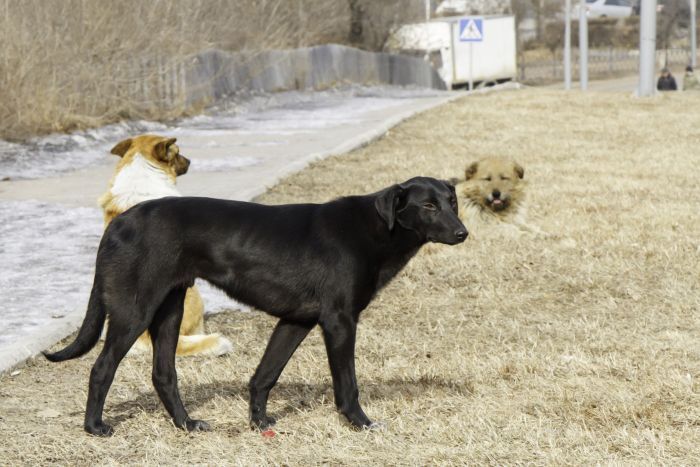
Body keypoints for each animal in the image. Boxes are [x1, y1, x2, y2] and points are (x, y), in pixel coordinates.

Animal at [46, 177, 468, 436]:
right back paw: (94, 428)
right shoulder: (339, 321)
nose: (463, 232)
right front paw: (361, 424)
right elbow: (347, 384)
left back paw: (187, 424)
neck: (378, 228)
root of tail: (117, 224)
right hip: (135, 310)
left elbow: (264, 375)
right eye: (428, 206)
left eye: (452, 202)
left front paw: (259, 422)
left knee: (164, 374)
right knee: (102, 368)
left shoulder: (296, 321)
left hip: (169, 309)